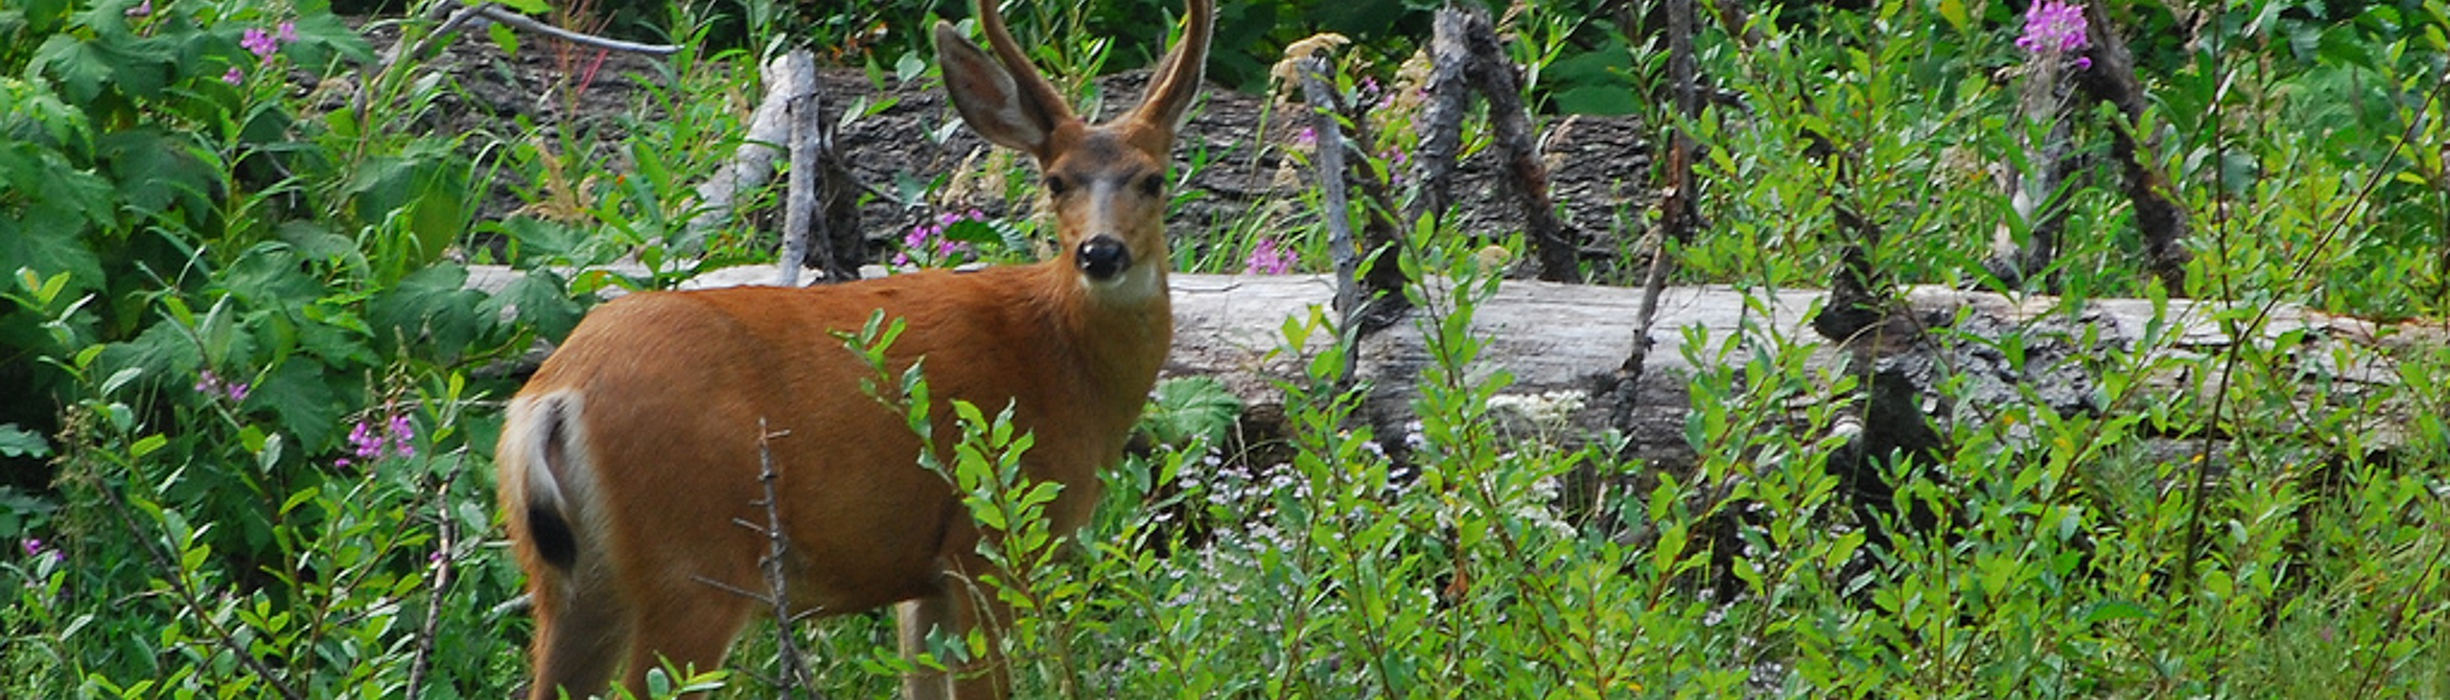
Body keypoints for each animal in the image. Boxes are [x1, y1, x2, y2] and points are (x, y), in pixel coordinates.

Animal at [492, 0, 1210, 695]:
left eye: (1153, 179)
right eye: (1057, 180)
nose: (1100, 252)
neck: (1061, 360)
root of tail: (553, 394)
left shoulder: (924, 577)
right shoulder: (987, 541)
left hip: (569, 580)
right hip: (693, 561)